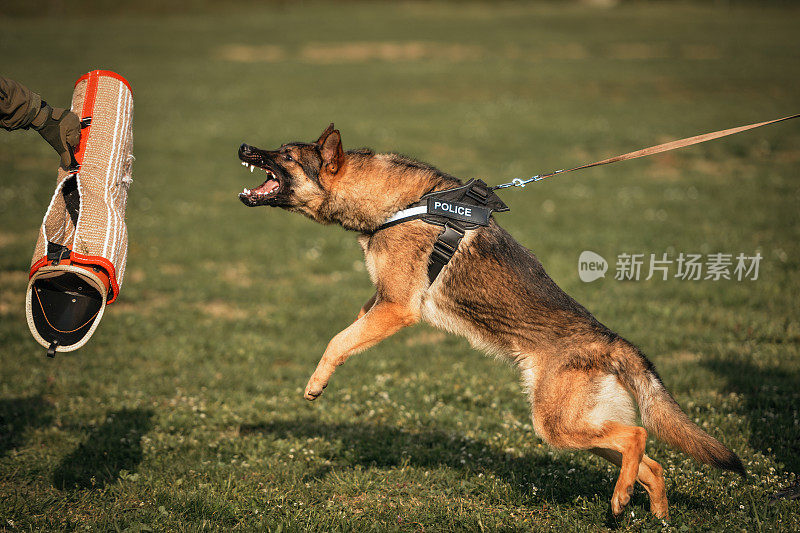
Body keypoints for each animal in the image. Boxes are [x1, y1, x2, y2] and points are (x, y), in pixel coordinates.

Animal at [236, 123, 744, 516]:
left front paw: (315, 385)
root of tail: (613, 343)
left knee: (637, 437)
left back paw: (621, 500)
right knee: (650, 464)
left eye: (285, 155)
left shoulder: (397, 308)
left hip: (559, 426)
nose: (242, 147)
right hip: (575, 427)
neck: (394, 203)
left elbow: (337, 341)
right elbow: (345, 335)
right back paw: (653, 514)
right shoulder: (380, 302)